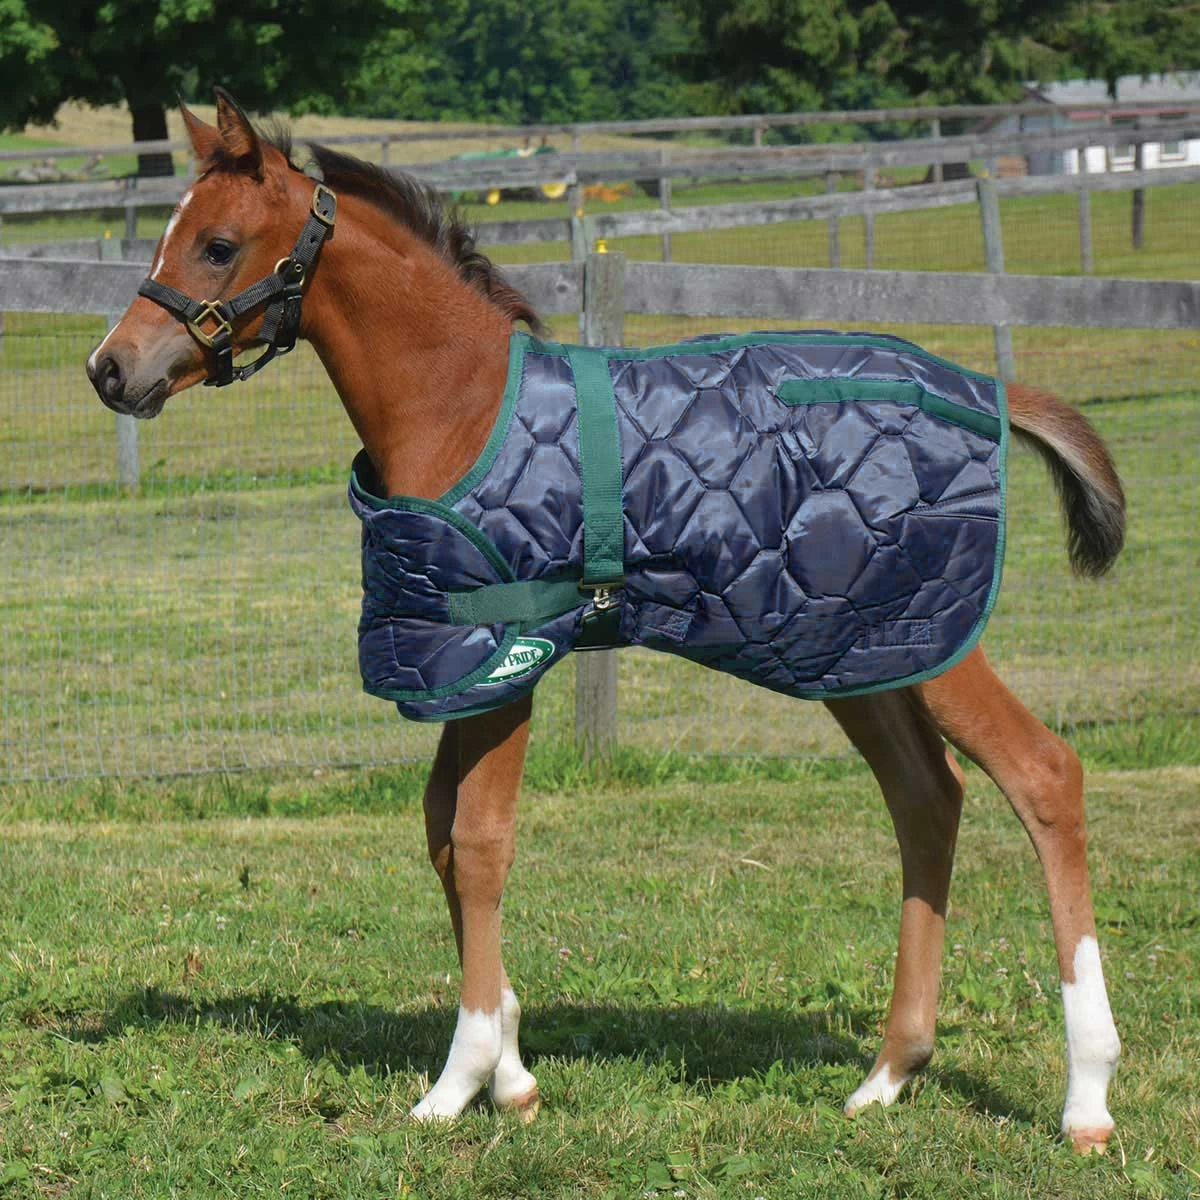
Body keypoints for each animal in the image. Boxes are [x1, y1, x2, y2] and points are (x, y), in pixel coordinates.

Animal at [86, 90, 1125, 1152]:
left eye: (216, 245)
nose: (110, 369)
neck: (459, 406)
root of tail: (984, 393)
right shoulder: (459, 661)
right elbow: (441, 834)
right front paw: (510, 1071)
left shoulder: (509, 654)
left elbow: (481, 841)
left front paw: (460, 1082)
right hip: (858, 647)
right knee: (927, 797)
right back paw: (890, 1072)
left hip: (925, 636)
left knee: (1044, 775)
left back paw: (1087, 1095)